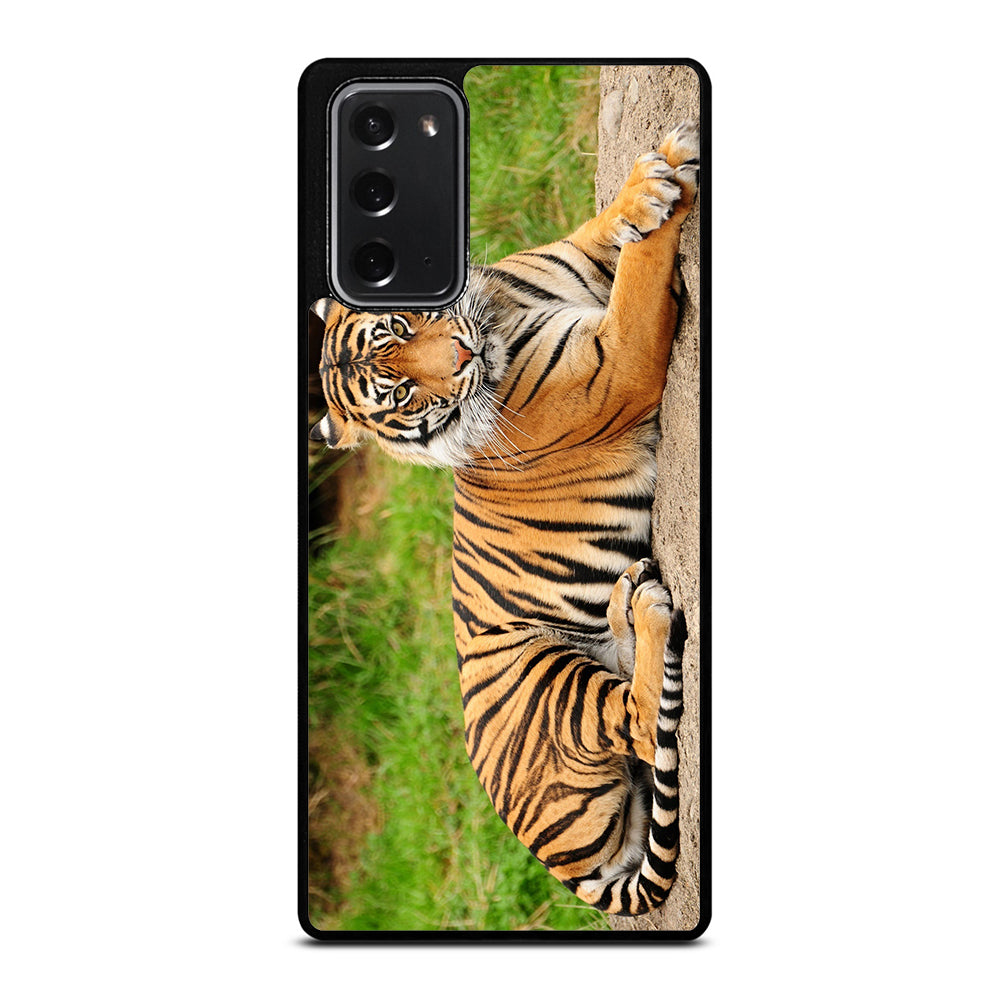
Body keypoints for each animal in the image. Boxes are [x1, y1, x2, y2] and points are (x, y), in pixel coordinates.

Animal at [309, 121, 699, 915]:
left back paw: (626, 600)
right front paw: (666, 185)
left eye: (400, 322)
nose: (460, 358)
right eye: (398, 392)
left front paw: (650, 182)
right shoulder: (617, 363)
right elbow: (641, 275)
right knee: (641, 720)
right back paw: (646, 610)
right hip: (545, 679)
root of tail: (564, 868)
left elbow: (609, 230)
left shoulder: (574, 263)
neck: (499, 312)